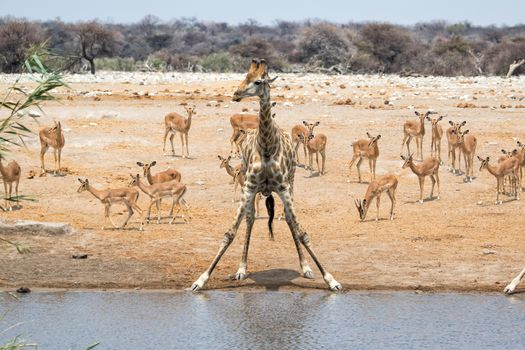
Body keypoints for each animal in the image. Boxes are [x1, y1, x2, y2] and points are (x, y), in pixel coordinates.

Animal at [190, 58, 342, 292]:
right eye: (245, 76)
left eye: (259, 81)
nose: (236, 94)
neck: (268, 148)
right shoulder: (249, 187)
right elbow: (229, 233)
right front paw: (200, 280)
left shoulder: (284, 188)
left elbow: (302, 232)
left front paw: (330, 279)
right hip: (251, 187)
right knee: (250, 218)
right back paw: (241, 268)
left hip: (291, 183)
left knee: (288, 219)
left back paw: (305, 267)